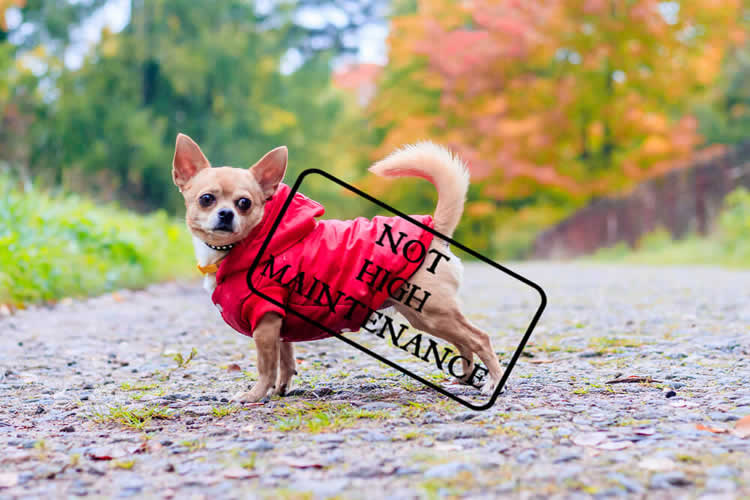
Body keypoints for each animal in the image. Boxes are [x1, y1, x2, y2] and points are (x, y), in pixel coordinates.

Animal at [173, 133, 502, 402]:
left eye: (244, 203)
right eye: (206, 199)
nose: (226, 214)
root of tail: (434, 231)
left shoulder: (264, 321)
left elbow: (266, 366)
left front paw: (254, 395)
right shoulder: (278, 322)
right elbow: (286, 360)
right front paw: (280, 390)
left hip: (430, 312)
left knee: (478, 338)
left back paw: (492, 383)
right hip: (428, 316)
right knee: (464, 342)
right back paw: (464, 378)